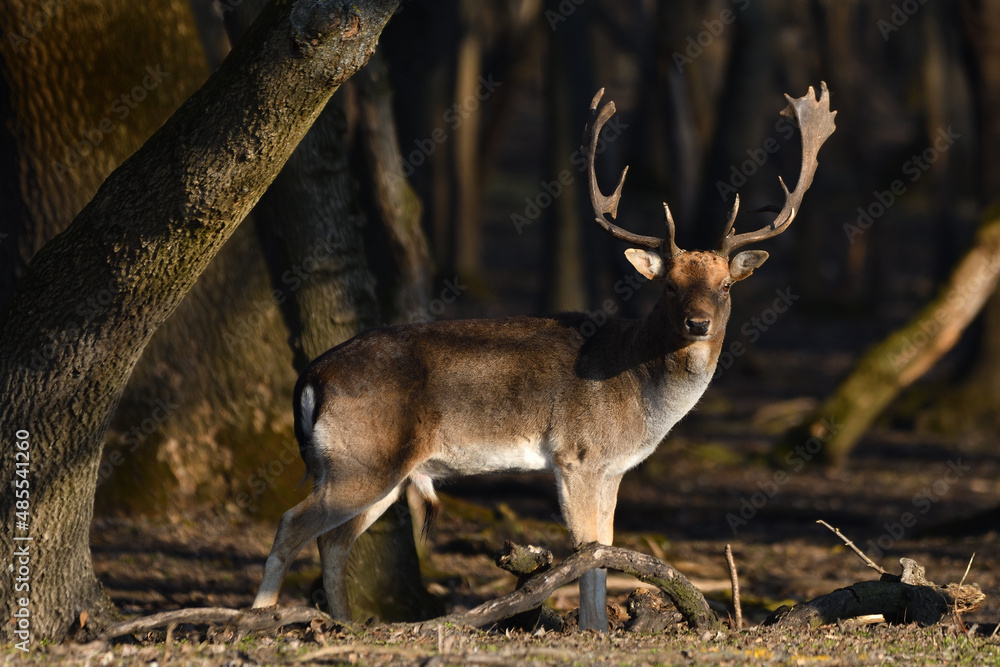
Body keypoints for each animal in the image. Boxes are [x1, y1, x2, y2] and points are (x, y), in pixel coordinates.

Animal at [252, 83, 836, 631]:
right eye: (669, 284)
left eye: (725, 286)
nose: (698, 323)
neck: (642, 397)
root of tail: (312, 375)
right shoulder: (576, 453)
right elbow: (587, 553)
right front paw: (593, 630)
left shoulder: (612, 468)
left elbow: (605, 548)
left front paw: (599, 630)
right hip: (361, 458)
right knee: (290, 524)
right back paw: (259, 621)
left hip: (376, 470)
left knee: (332, 541)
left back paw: (342, 622)